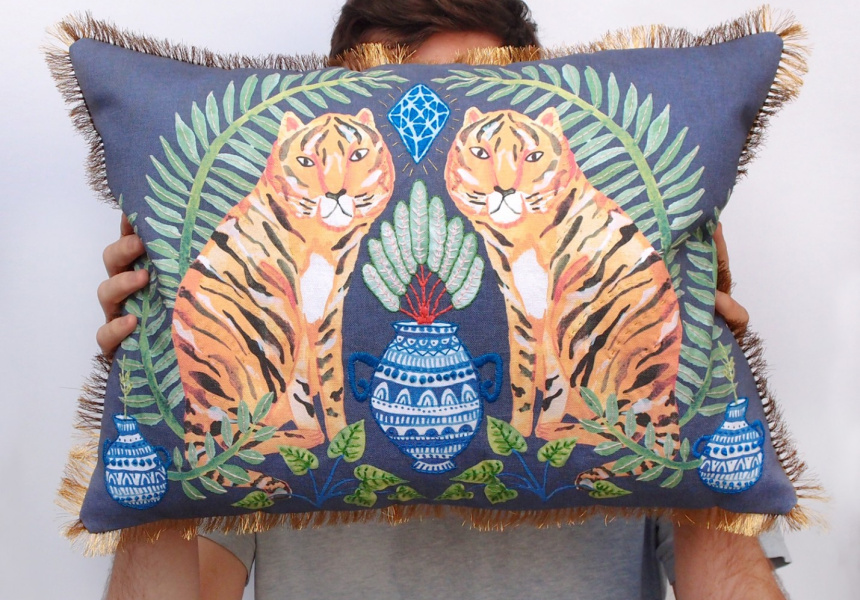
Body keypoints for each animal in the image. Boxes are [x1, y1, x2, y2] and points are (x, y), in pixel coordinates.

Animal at [172, 108, 395, 485]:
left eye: (357, 155)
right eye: (306, 161)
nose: (335, 193)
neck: (327, 237)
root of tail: (192, 398)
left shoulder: (328, 311)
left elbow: (332, 381)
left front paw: (342, 441)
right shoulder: (301, 315)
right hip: (266, 351)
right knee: (225, 441)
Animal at [444, 106, 682, 486]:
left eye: (533, 156)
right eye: (481, 153)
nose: (505, 189)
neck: (516, 236)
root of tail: (669, 394)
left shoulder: (552, 313)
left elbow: (549, 382)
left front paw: (537, 432)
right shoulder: (519, 308)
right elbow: (521, 376)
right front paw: (517, 434)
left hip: (589, 342)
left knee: (637, 437)